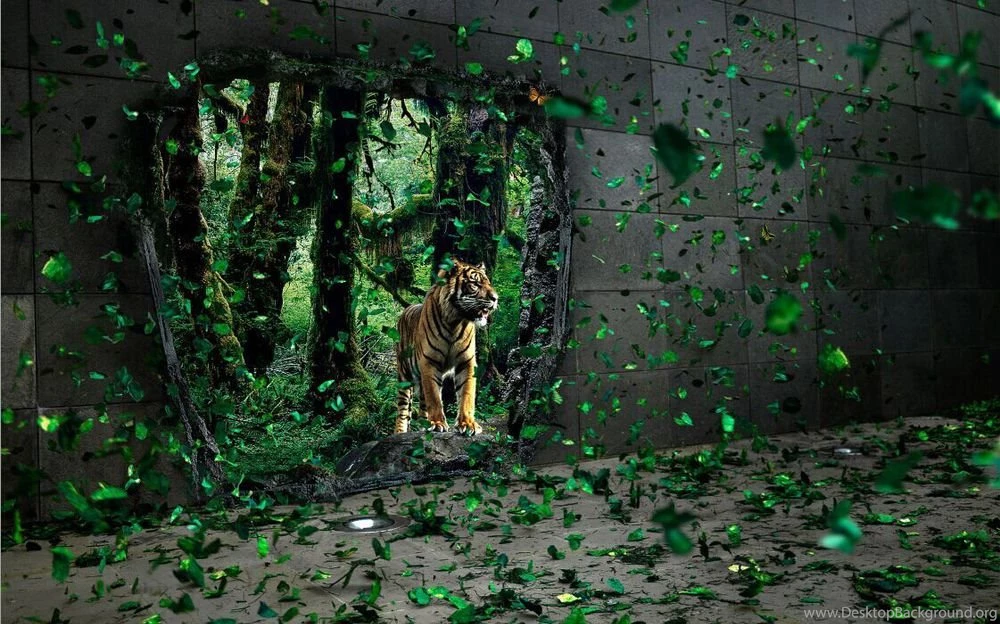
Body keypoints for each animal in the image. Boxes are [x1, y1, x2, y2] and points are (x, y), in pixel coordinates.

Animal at [394, 259, 499, 436]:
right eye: (475, 284)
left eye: (488, 283)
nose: (496, 298)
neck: (454, 322)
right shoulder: (429, 362)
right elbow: (434, 397)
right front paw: (437, 423)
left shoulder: (467, 362)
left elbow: (467, 394)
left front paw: (468, 424)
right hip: (404, 375)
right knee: (403, 409)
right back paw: (400, 432)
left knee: (422, 402)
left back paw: (423, 423)